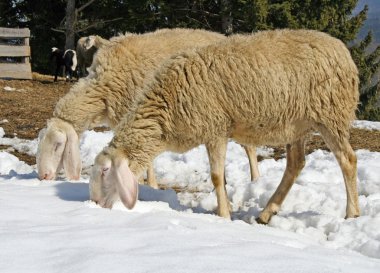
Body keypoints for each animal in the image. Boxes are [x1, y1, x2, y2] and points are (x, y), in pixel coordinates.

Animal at [37, 28, 262, 187]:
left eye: (58, 145)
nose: (43, 176)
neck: (103, 87)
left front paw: (149, 184)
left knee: (250, 147)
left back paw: (255, 180)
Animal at [90, 28, 360, 222]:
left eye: (105, 171)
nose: (94, 204)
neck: (165, 108)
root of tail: (342, 49)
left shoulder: (215, 128)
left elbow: (217, 176)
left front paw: (223, 215)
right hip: (296, 124)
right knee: (295, 164)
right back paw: (266, 213)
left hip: (330, 115)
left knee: (347, 160)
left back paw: (352, 213)